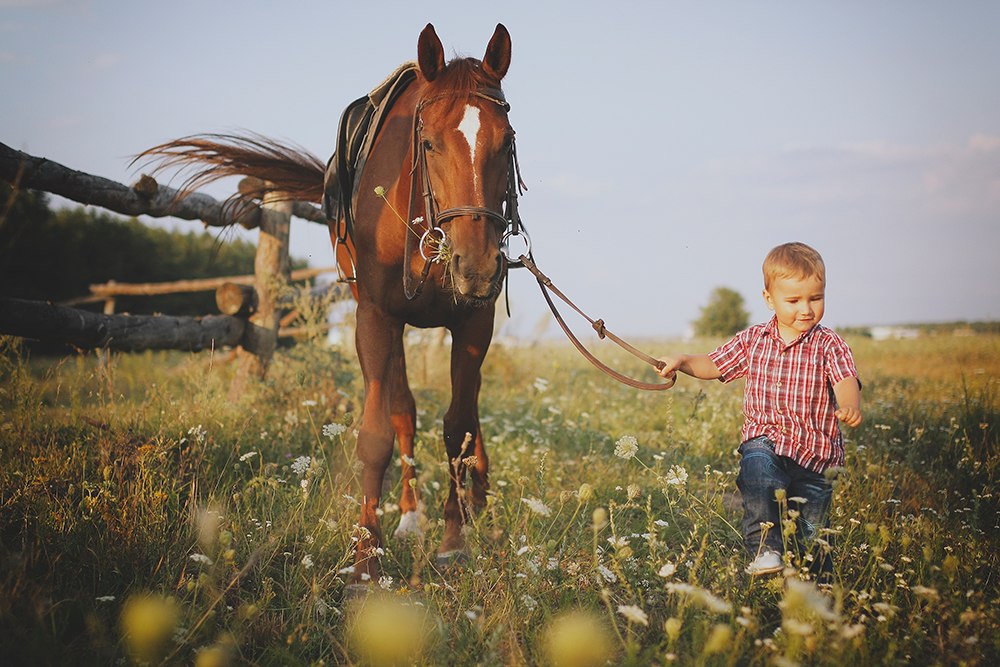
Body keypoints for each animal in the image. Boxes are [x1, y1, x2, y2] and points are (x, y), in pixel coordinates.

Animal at [143, 22, 516, 584]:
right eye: (428, 144)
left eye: (507, 140)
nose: (476, 267)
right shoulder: (376, 318)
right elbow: (378, 433)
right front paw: (365, 558)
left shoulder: (474, 323)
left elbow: (458, 427)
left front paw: (454, 541)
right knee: (404, 409)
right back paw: (410, 517)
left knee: (462, 415)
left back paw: (475, 502)